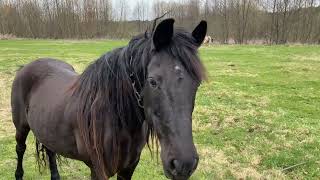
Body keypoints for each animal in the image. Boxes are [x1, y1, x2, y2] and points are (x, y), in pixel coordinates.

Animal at [11, 19, 206, 179]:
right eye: (153, 81)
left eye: (197, 83)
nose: (183, 164)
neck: (114, 119)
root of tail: (25, 67)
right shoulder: (98, 170)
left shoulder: (128, 168)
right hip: (21, 128)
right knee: (20, 149)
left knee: (50, 152)